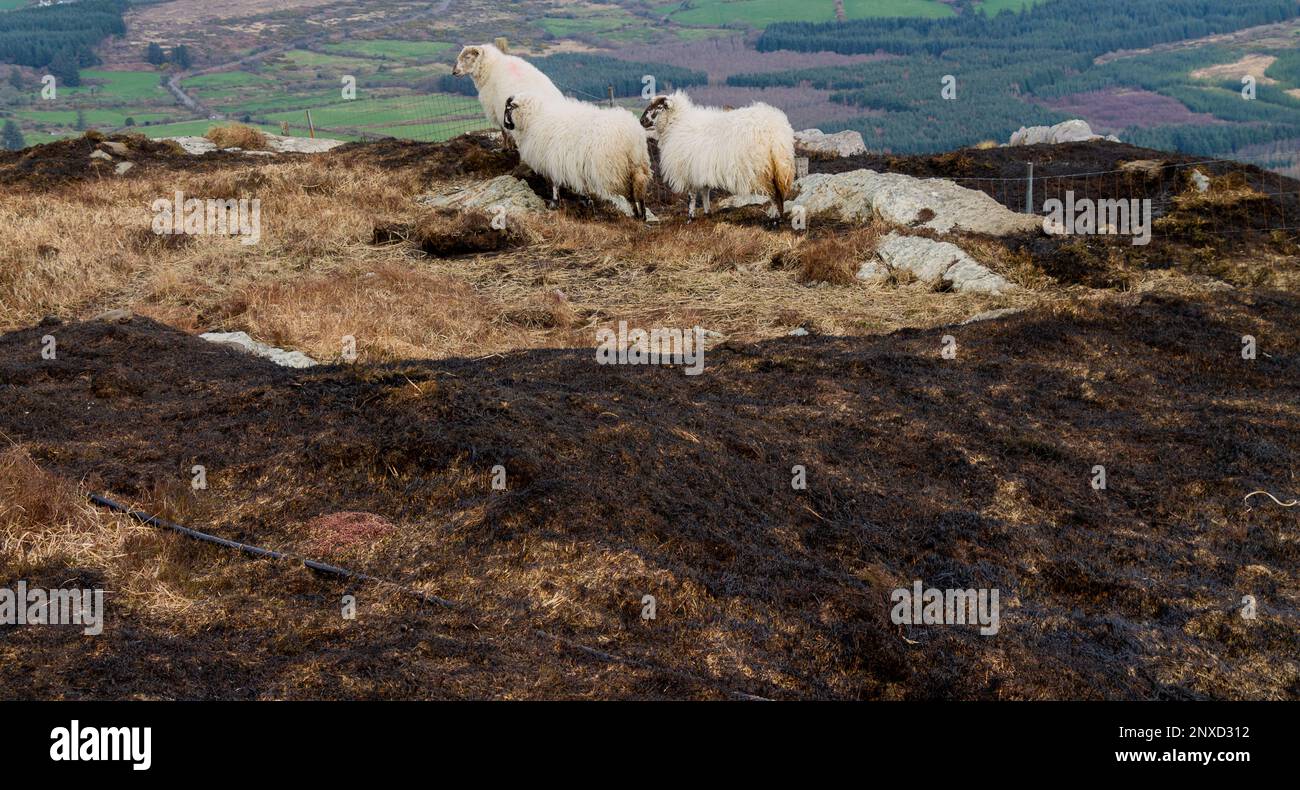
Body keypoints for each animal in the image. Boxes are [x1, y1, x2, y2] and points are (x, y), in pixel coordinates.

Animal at [504, 94, 655, 220]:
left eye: (508, 108)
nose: (506, 125)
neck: (534, 117)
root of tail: (634, 135)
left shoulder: (552, 161)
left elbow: (554, 184)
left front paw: (554, 203)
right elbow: (582, 187)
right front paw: (585, 201)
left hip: (617, 169)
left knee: (630, 193)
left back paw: (637, 215)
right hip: (637, 165)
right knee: (639, 189)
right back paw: (641, 216)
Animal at [637, 93, 790, 222]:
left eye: (659, 107)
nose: (641, 120)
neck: (676, 123)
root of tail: (776, 130)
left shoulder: (689, 171)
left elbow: (691, 196)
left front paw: (690, 218)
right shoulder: (701, 169)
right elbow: (705, 191)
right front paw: (707, 213)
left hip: (763, 169)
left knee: (773, 194)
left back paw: (775, 220)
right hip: (777, 167)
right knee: (778, 193)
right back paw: (779, 217)